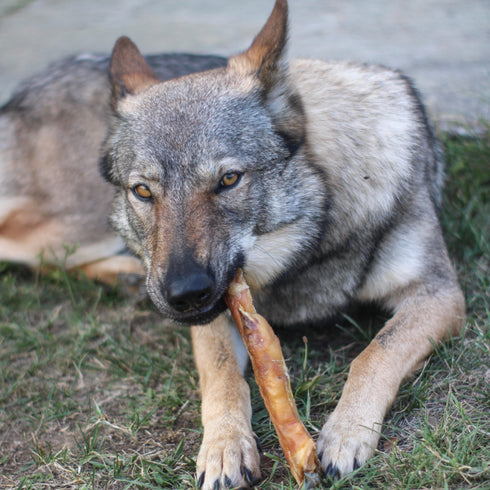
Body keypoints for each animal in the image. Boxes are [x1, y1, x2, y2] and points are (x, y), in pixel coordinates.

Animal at [1, 0, 466, 490]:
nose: (183, 294)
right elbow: (224, 378)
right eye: (143, 191)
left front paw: (346, 432)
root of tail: (27, 89)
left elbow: (375, 353)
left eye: (228, 180)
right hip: (85, 224)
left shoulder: (438, 294)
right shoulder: (216, 316)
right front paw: (224, 447)